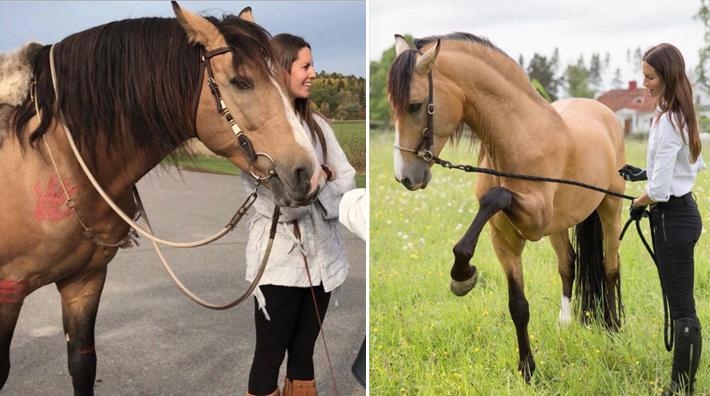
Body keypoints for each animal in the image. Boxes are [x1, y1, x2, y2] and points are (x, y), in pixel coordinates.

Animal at [0, 3, 326, 392]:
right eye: (241, 81)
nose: (309, 173)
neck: (51, 158)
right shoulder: (7, 291)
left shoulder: (84, 280)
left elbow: (82, 364)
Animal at [390, 33, 628, 380]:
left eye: (415, 105)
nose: (405, 177)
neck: (520, 139)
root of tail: (604, 112)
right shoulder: (505, 239)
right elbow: (518, 305)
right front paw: (527, 369)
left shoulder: (534, 221)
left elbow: (495, 198)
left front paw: (462, 277)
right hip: (559, 226)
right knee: (568, 264)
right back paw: (565, 323)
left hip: (611, 207)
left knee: (610, 267)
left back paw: (612, 328)